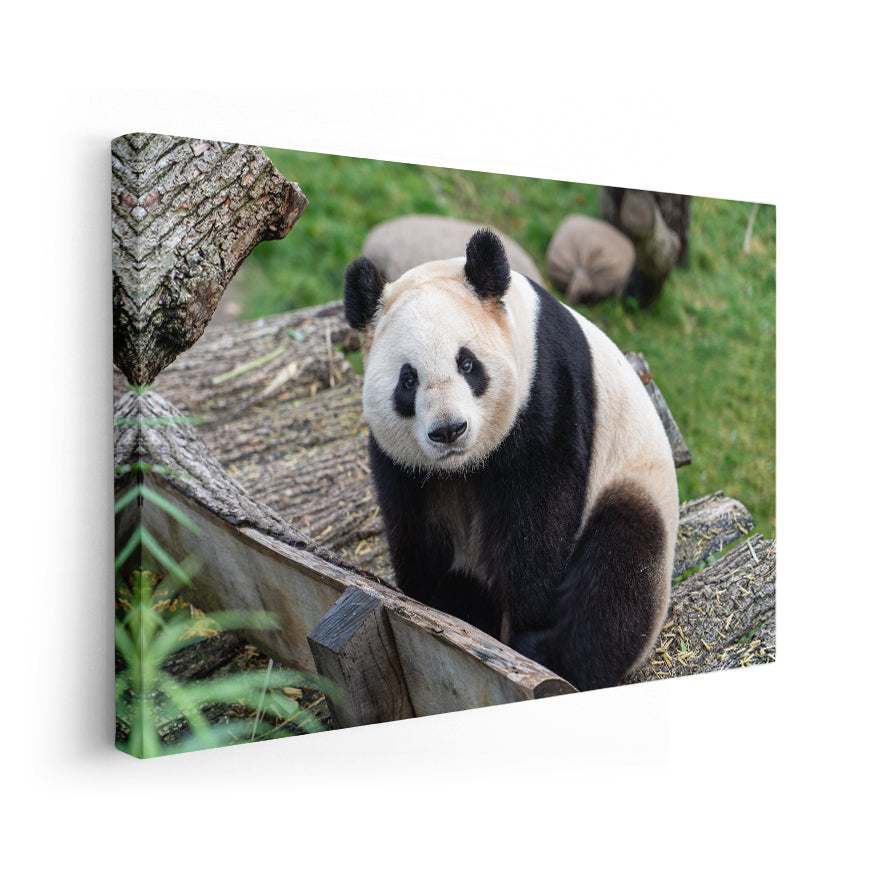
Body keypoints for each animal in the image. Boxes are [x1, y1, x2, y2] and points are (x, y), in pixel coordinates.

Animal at [343, 228, 678, 691]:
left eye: (467, 364)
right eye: (408, 380)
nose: (449, 430)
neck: (463, 466)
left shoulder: (546, 392)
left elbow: (538, 518)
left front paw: (521, 626)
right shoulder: (403, 463)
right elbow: (415, 526)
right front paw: (429, 602)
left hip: (635, 486)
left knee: (620, 571)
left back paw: (550, 654)